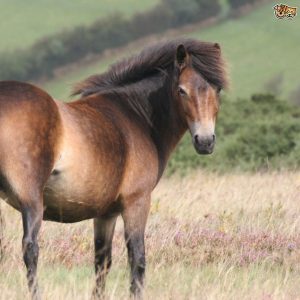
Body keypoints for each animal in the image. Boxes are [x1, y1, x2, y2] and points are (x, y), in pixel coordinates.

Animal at [0, 38, 227, 298]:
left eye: (217, 89)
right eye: (182, 90)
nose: (205, 141)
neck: (136, 116)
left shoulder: (105, 214)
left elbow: (102, 262)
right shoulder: (136, 202)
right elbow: (137, 259)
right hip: (32, 202)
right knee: (30, 248)